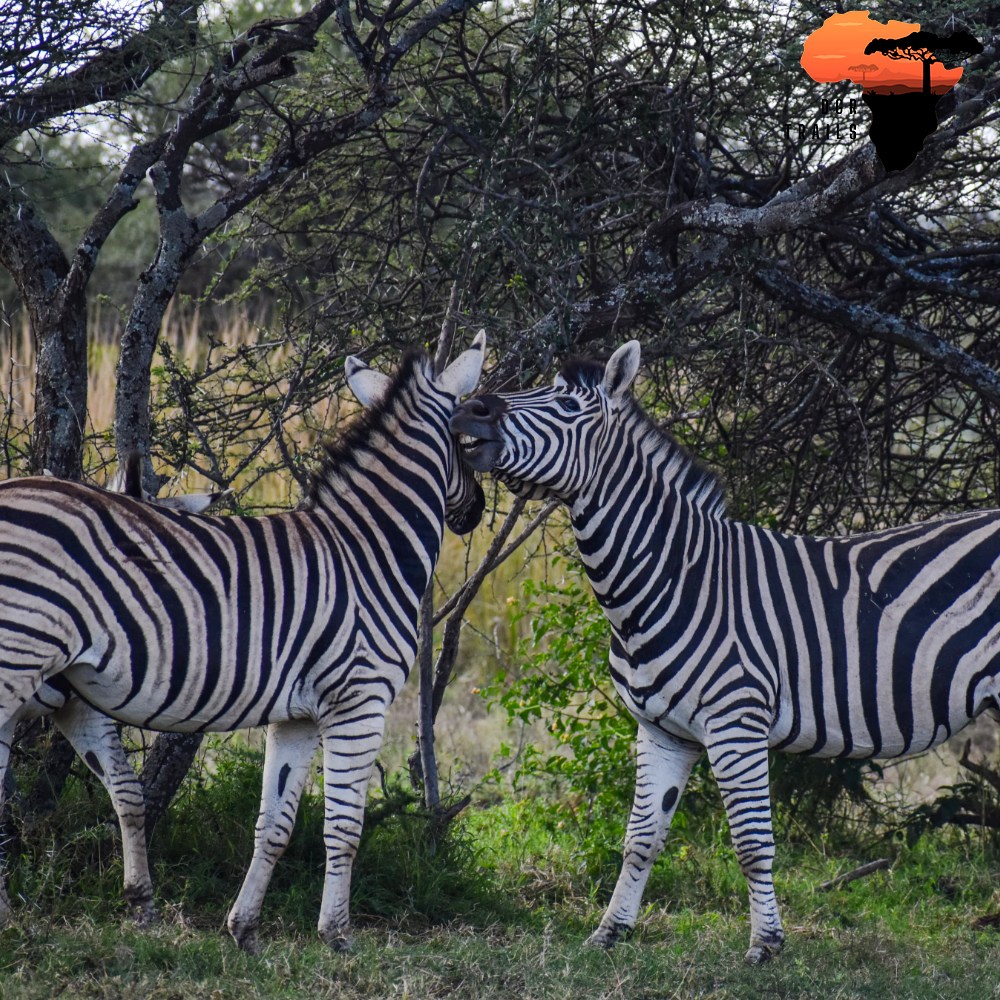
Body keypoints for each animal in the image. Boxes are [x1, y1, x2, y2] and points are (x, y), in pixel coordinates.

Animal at [0, 333, 486, 952]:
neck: (368, 549)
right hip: (16, 658)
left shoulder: (298, 717)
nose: (475, 511)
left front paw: (245, 929)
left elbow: (275, 824)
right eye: (467, 441)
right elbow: (344, 827)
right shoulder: (361, 700)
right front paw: (337, 936)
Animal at [451, 339, 1000, 964]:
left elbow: (752, 842)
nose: (470, 409)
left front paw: (765, 944)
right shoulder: (661, 730)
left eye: (566, 405)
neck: (672, 578)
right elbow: (640, 839)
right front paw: (610, 931)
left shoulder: (736, 721)